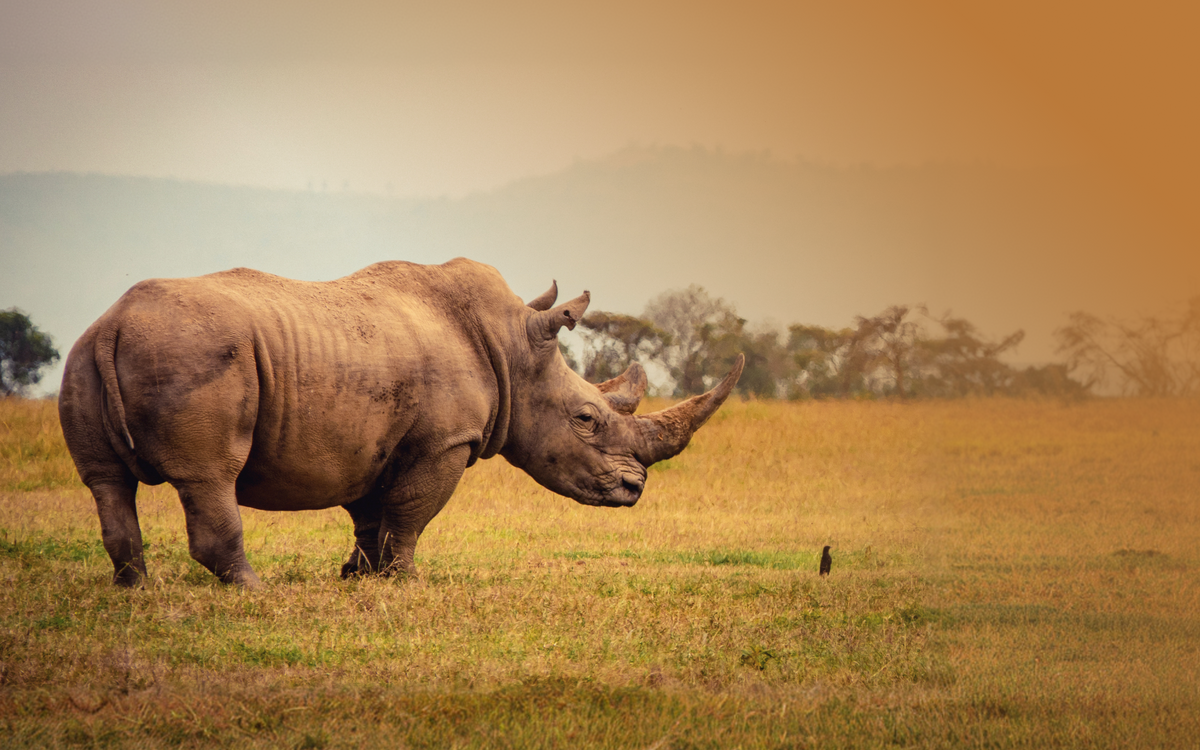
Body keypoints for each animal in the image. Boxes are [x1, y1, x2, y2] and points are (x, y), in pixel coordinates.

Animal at [59, 259, 743, 588]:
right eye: (586, 418)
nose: (635, 490)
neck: (512, 349)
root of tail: (115, 323)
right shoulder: (444, 441)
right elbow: (413, 512)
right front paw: (406, 582)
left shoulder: (372, 439)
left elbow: (371, 514)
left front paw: (356, 577)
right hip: (194, 355)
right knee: (209, 476)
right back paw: (252, 591)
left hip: (86, 355)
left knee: (106, 484)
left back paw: (135, 591)